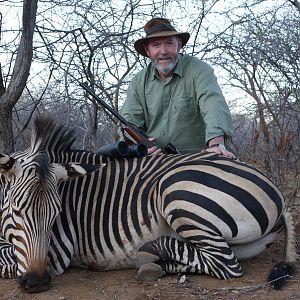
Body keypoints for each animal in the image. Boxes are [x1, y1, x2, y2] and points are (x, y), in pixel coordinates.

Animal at [0, 117, 296, 292]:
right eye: (16, 211)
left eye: (57, 215)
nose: (37, 282)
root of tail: (279, 194)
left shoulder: (58, 251)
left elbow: (5, 261)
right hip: (247, 244)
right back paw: (154, 263)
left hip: (174, 189)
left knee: (225, 264)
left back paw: (151, 254)